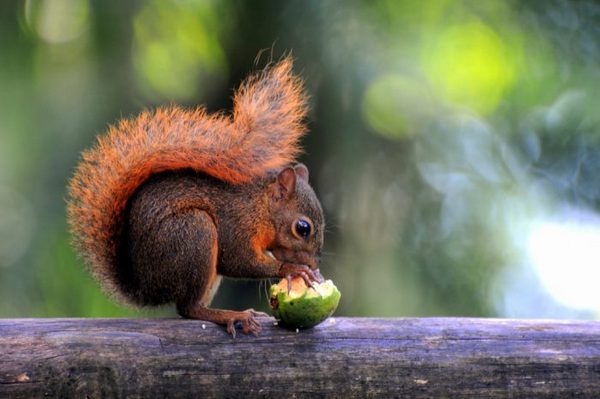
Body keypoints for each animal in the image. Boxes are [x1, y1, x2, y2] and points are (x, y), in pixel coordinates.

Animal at [67, 57, 324, 338]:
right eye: (303, 228)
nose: (314, 265)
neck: (259, 208)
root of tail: (146, 288)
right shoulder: (236, 224)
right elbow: (237, 261)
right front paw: (291, 269)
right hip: (194, 234)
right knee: (188, 308)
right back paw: (231, 316)